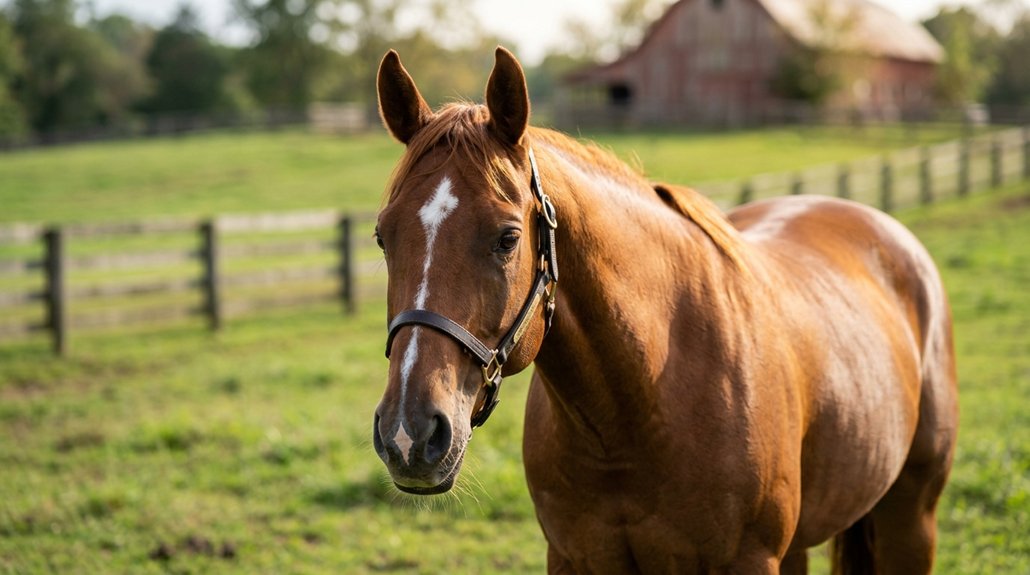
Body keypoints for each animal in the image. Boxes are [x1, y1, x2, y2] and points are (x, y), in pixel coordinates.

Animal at [371, 47, 958, 574]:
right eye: (382, 237)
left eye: (507, 238)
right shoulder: (574, 558)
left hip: (912, 520)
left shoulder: (748, 560)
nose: (409, 433)